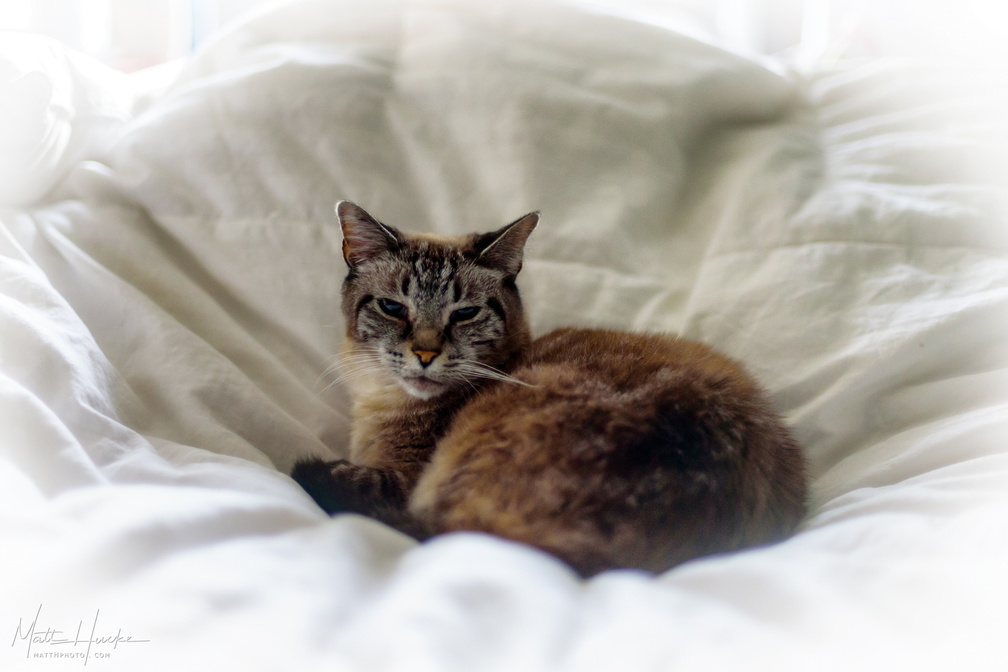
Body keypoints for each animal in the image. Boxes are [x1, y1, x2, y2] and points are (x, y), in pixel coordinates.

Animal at [290, 201, 802, 580]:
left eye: (465, 313)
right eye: (394, 308)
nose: (425, 354)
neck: (385, 402)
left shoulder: (401, 480)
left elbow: (347, 475)